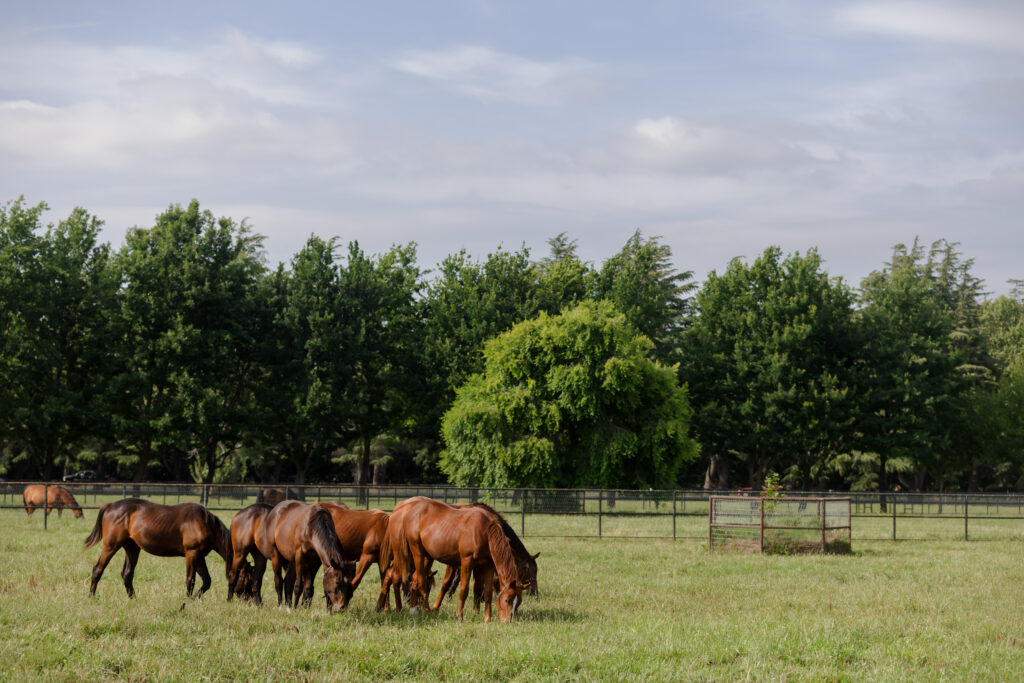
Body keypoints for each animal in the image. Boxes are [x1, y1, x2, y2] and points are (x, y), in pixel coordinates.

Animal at [83, 498, 234, 599]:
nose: (232, 599)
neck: (205, 523)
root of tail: (110, 506)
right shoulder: (192, 553)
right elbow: (190, 580)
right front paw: (187, 601)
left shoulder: (199, 555)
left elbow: (207, 581)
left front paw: (193, 599)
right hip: (111, 546)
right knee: (98, 569)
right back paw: (91, 597)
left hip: (132, 547)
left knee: (127, 574)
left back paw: (133, 599)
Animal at [385, 496, 522, 622]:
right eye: (507, 600)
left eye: (518, 601)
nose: (507, 621)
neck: (484, 531)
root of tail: (405, 509)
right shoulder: (467, 561)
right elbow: (464, 590)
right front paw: (459, 616)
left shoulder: (488, 565)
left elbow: (488, 592)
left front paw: (487, 619)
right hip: (415, 553)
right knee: (419, 582)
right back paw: (425, 610)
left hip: (424, 557)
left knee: (413, 579)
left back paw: (413, 609)